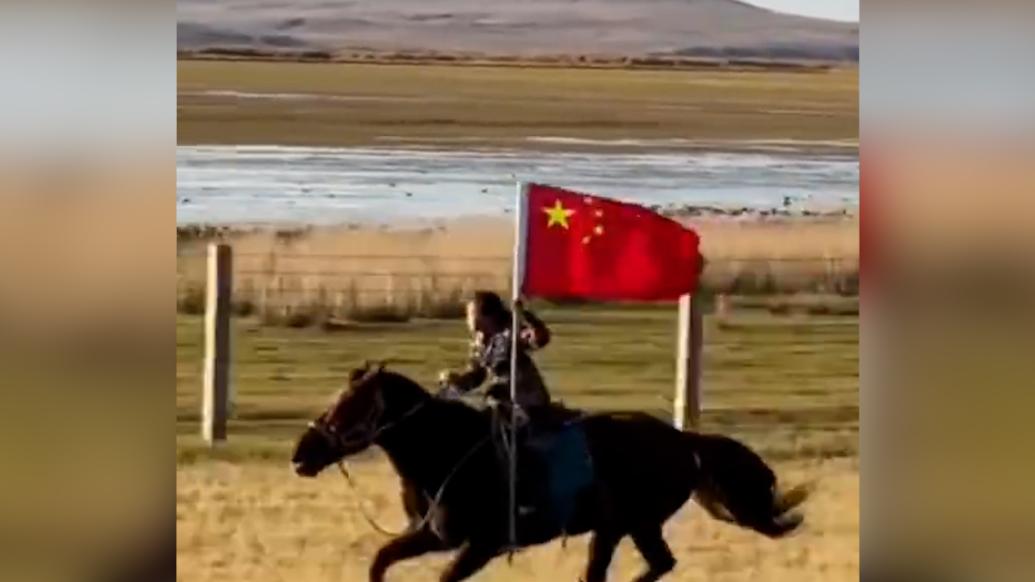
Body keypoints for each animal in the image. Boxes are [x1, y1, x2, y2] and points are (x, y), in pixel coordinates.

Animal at [291, 362, 807, 579]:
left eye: (349, 408)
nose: (300, 455)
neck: (450, 450)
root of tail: (684, 441)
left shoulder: (481, 545)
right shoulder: (433, 535)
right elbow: (381, 560)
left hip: (625, 524)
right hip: (628, 526)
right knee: (653, 565)